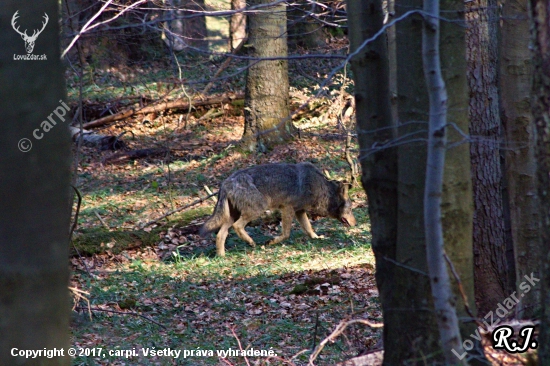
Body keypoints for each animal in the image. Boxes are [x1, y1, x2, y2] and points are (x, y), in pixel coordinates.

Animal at [199, 163, 358, 258]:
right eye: (351, 209)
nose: (355, 224)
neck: (321, 189)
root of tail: (225, 182)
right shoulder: (287, 208)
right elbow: (286, 234)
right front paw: (271, 242)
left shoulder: (299, 211)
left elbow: (309, 229)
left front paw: (317, 238)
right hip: (257, 210)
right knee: (237, 226)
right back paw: (252, 243)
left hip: (233, 215)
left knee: (221, 233)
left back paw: (221, 256)